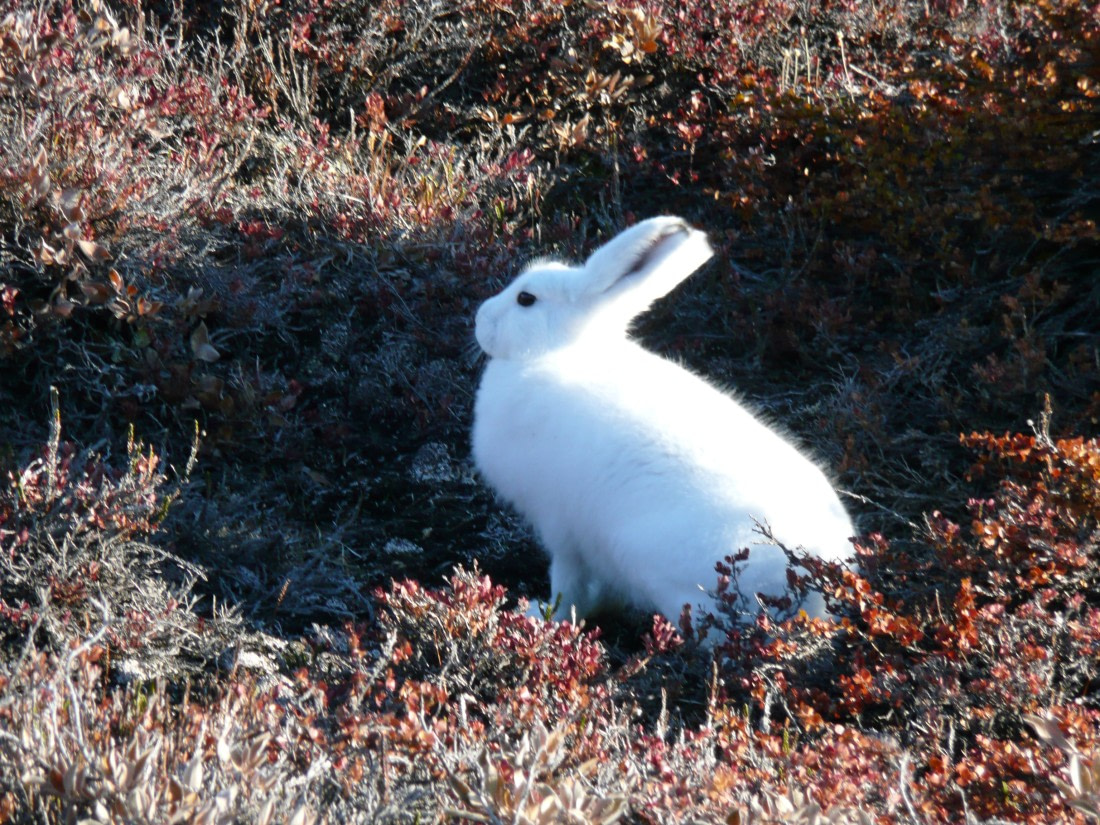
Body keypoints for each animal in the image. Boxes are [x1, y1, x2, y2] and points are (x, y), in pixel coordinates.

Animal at [471, 216, 855, 637]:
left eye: (526, 299)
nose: (480, 318)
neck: (554, 354)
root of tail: (817, 598)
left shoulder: (561, 528)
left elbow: (567, 583)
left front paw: (542, 616)